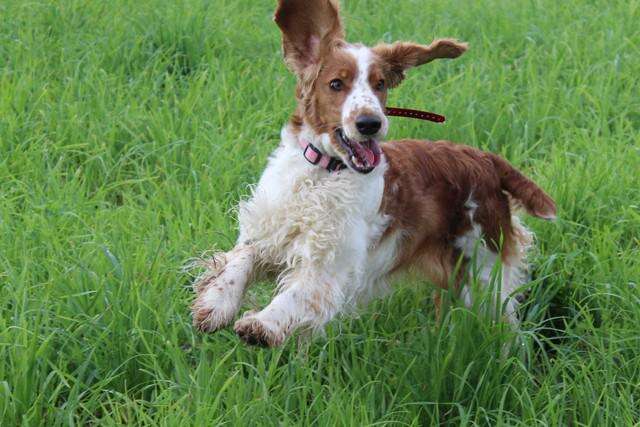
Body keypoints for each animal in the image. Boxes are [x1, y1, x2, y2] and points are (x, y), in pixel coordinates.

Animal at [191, 0, 556, 348]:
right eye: (336, 84)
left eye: (380, 85)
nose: (370, 123)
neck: (322, 175)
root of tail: (485, 159)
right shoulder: (270, 229)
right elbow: (240, 259)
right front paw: (216, 305)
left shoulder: (332, 262)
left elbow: (298, 294)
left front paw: (261, 324)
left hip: (484, 271)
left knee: (508, 328)